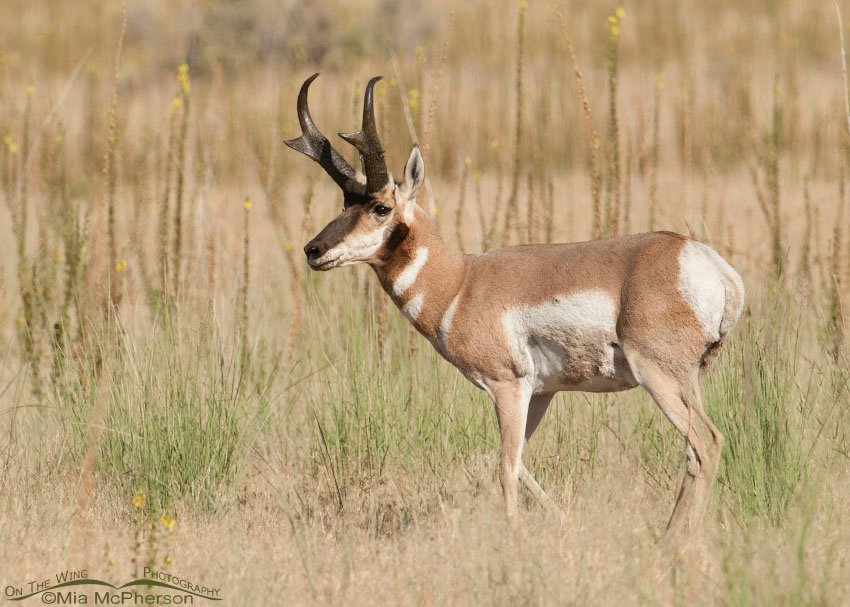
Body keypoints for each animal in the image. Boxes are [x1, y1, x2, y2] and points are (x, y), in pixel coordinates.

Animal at [284, 73, 744, 535]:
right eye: (347, 203)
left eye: (381, 207)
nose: (313, 250)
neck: (461, 282)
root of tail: (703, 260)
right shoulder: (541, 392)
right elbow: (519, 464)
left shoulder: (507, 386)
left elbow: (505, 468)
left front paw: (512, 535)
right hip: (689, 380)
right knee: (693, 453)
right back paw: (668, 534)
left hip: (659, 375)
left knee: (706, 443)